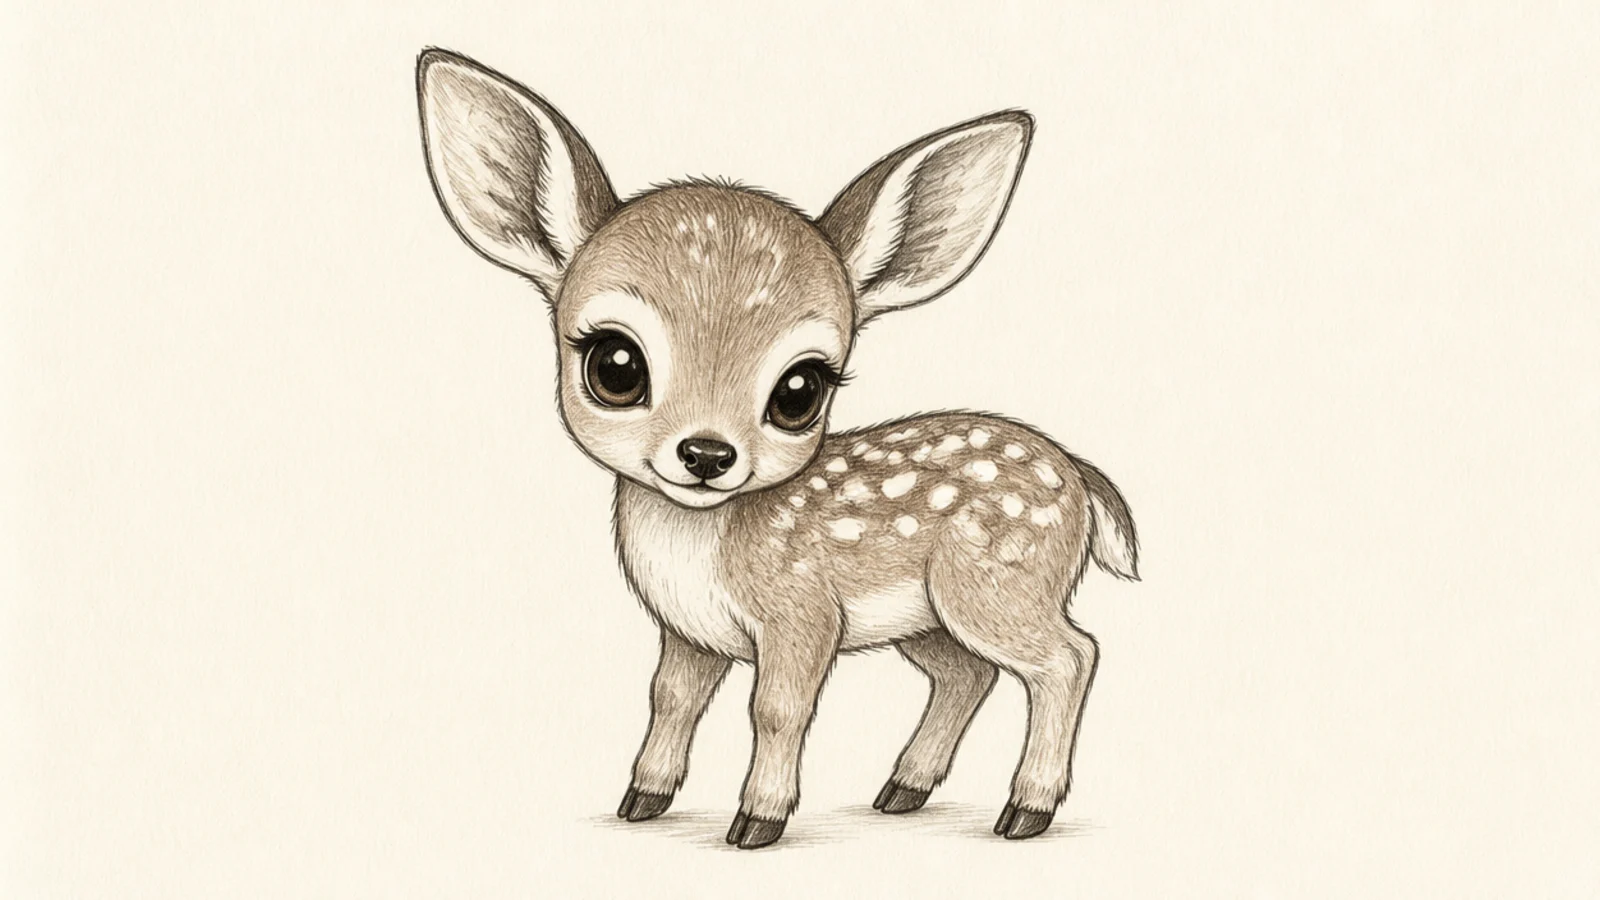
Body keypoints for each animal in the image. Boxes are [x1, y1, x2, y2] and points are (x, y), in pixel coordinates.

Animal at [415, 48, 1140, 850]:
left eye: (800, 389)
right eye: (615, 365)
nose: (706, 455)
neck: (702, 547)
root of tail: (1079, 478)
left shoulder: (804, 611)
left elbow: (776, 708)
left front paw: (757, 820)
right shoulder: (689, 632)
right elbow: (669, 697)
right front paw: (643, 798)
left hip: (999, 582)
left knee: (1071, 657)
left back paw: (1025, 811)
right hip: (930, 616)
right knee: (967, 673)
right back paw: (903, 790)